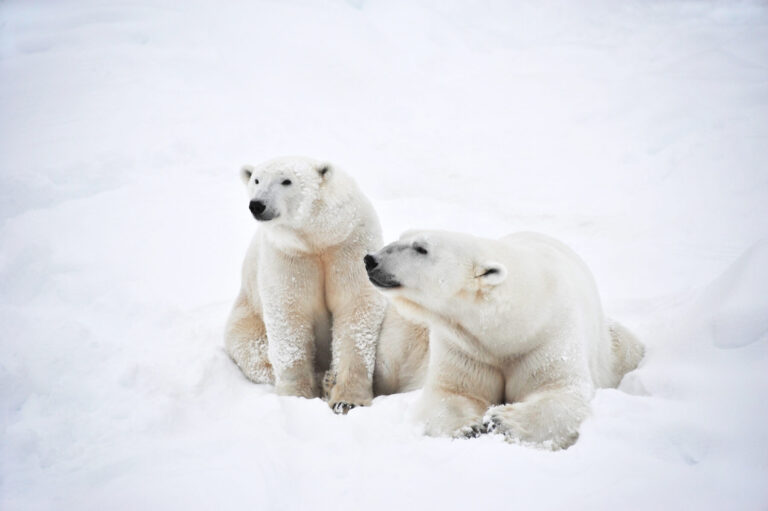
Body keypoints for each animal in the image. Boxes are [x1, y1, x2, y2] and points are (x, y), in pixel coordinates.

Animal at [224, 156, 428, 413]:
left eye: (286, 181)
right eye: (256, 180)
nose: (257, 205)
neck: (318, 239)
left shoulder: (349, 244)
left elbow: (355, 308)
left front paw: (346, 399)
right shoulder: (288, 255)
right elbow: (289, 313)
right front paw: (297, 396)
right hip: (245, 319)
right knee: (255, 353)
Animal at [364, 229, 644, 449]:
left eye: (421, 248)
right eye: (401, 237)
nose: (370, 259)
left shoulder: (548, 336)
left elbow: (562, 391)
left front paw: (501, 421)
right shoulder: (465, 346)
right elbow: (452, 392)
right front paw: (469, 427)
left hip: (616, 349)